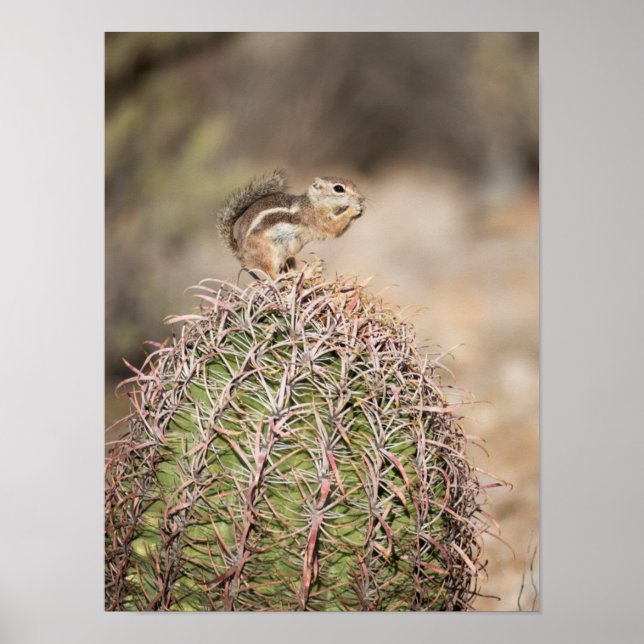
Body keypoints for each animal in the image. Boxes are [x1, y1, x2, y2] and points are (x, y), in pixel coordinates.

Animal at [216, 169, 365, 279]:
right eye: (338, 188)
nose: (362, 198)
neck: (312, 203)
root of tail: (241, 255)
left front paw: (361, 209)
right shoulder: (315, 219)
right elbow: (333, 229)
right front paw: (353, 209)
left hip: (287, 253)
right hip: (268, 253)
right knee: (275, 277)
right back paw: (308, 272)